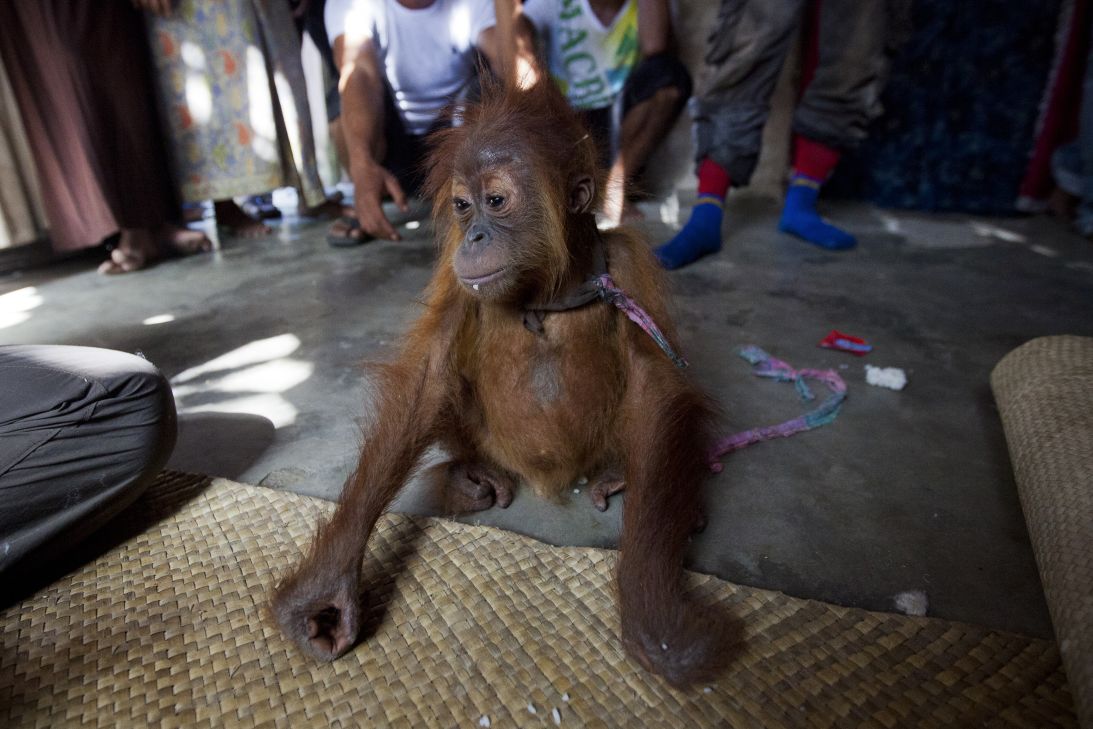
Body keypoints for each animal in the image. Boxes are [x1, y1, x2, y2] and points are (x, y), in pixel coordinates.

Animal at [271, 78, 732, 688]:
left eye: (496, 201)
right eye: (462, 206)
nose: (475, 236)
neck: (547, 287)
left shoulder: (629, 266)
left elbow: (656, 389)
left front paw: (656, 622)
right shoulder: (454, 275)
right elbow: (428, 378)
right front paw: (325, 594)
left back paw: (630, 482)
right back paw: (468, 481)